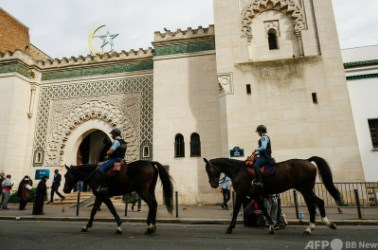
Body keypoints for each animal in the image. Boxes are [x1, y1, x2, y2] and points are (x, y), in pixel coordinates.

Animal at [204, 157, 342, 235]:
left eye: (209, 170)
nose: (213, 183)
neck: (238, 170)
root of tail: (307, 161)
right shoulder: (255, 194)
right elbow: (264, 210)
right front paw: (271, 226)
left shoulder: (241, 193)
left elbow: (237, 209)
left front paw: (229, 228)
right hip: (305, 190)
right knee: (314, 205)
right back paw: (315, 226)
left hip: (305, 189)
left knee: (317, 203)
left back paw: (320, 225)